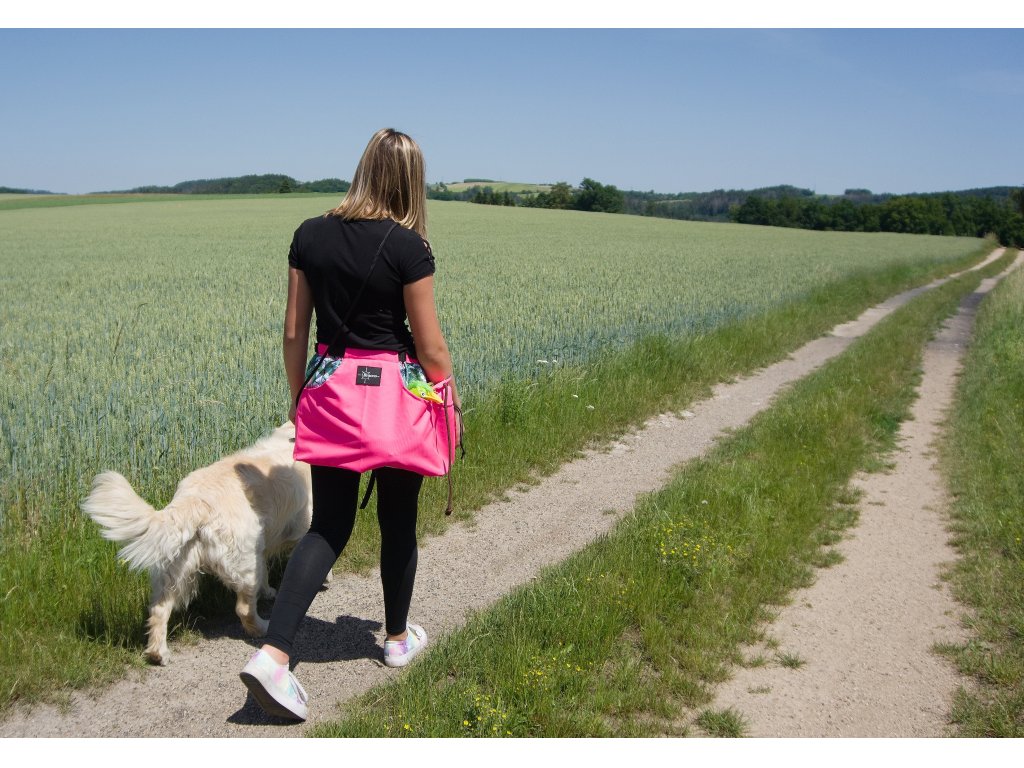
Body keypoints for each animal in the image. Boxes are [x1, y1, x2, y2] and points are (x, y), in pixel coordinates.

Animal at [82, 423, 327, 663]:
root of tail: (194, 500)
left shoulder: (264, 544)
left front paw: (268, 591)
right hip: (245, 563)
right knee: (243, 608)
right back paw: (261, 627)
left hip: (176, 568)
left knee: (159, 608)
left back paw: (158, 653)